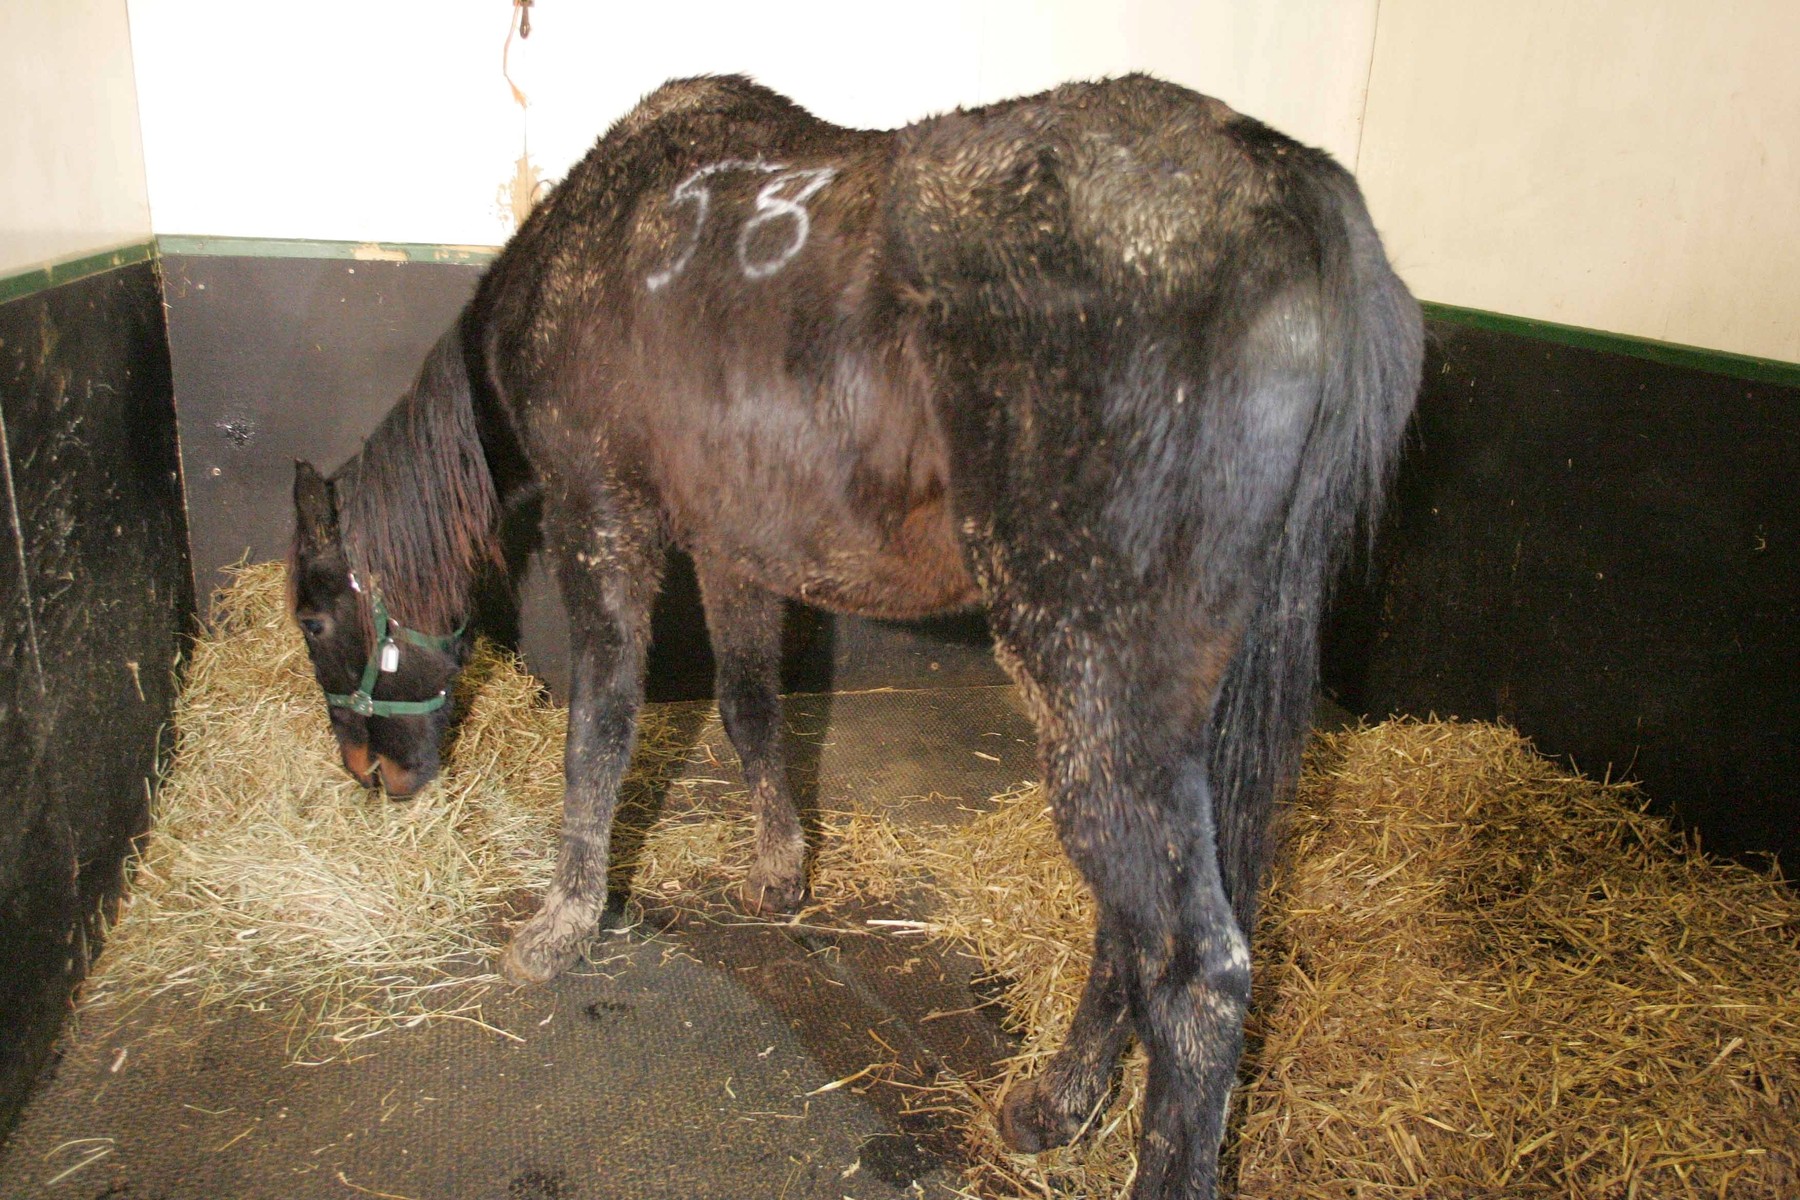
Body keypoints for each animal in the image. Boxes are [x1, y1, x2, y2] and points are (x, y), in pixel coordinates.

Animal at [288, 74, 1421, 1199]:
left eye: (311, 616)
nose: (369, 774)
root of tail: (1290, 186)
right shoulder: (734, 547)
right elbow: (749, 708)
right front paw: (781, 873)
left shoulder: (601, 517)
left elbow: (599, 735)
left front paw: (559, 929)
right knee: (1135, 929)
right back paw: (1056, 1104)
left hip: (1092, 681)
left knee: (1193, 974)